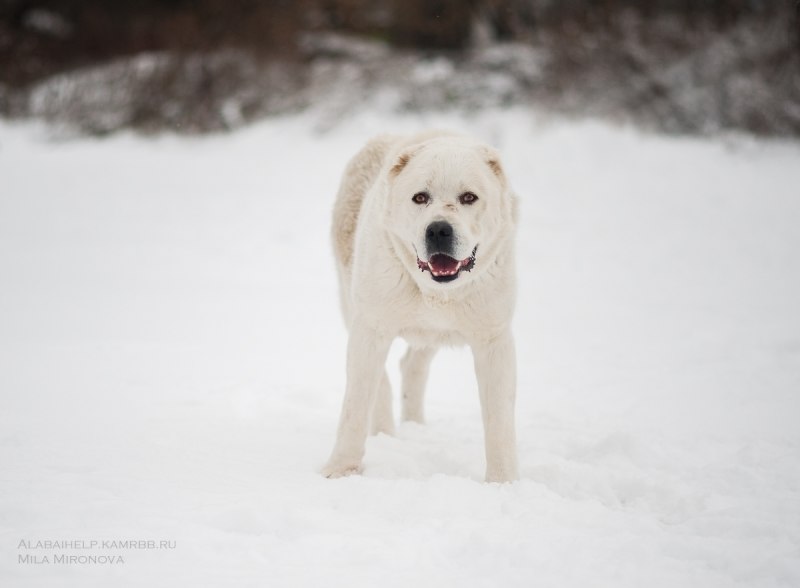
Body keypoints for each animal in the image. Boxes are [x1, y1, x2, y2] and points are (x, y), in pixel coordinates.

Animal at [324, 130, 520, 482]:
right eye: (420, 197)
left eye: (469, 197)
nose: (439, 229)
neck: (435, 292)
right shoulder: (370, 329)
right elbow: (355, 407)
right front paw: (340, 471)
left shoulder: (493, 340)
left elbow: (499, 419)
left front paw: (503, 482)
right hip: (355, 308)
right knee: (382, 382)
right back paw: (386, 434)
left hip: (431, 335)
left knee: (412, 366)